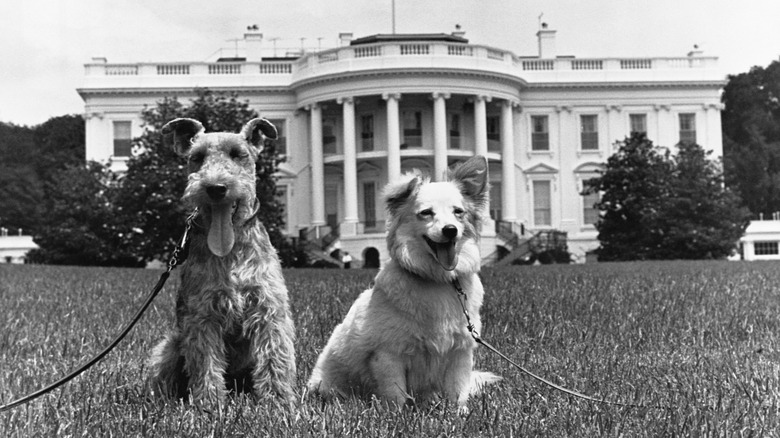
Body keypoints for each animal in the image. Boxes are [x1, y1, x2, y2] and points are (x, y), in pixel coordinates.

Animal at [149, 117, 296, 404]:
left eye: (238, 154)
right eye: (196, 157)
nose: (216, 188)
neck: (231, 251)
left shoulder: (268, 310)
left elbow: (274, 358)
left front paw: (278, 402)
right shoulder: (203, 316)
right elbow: (206, 364)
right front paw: (209, 404)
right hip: (170, 346)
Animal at [306, 155, 500, 410]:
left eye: (459, 212)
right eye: (426, 213)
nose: (450, 230)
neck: (438, 280)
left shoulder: (460, 350)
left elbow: (457, 389)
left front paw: (459, 412)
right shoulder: (388, 354)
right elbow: (395, 393)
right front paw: (397, 413)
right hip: (326, 383)